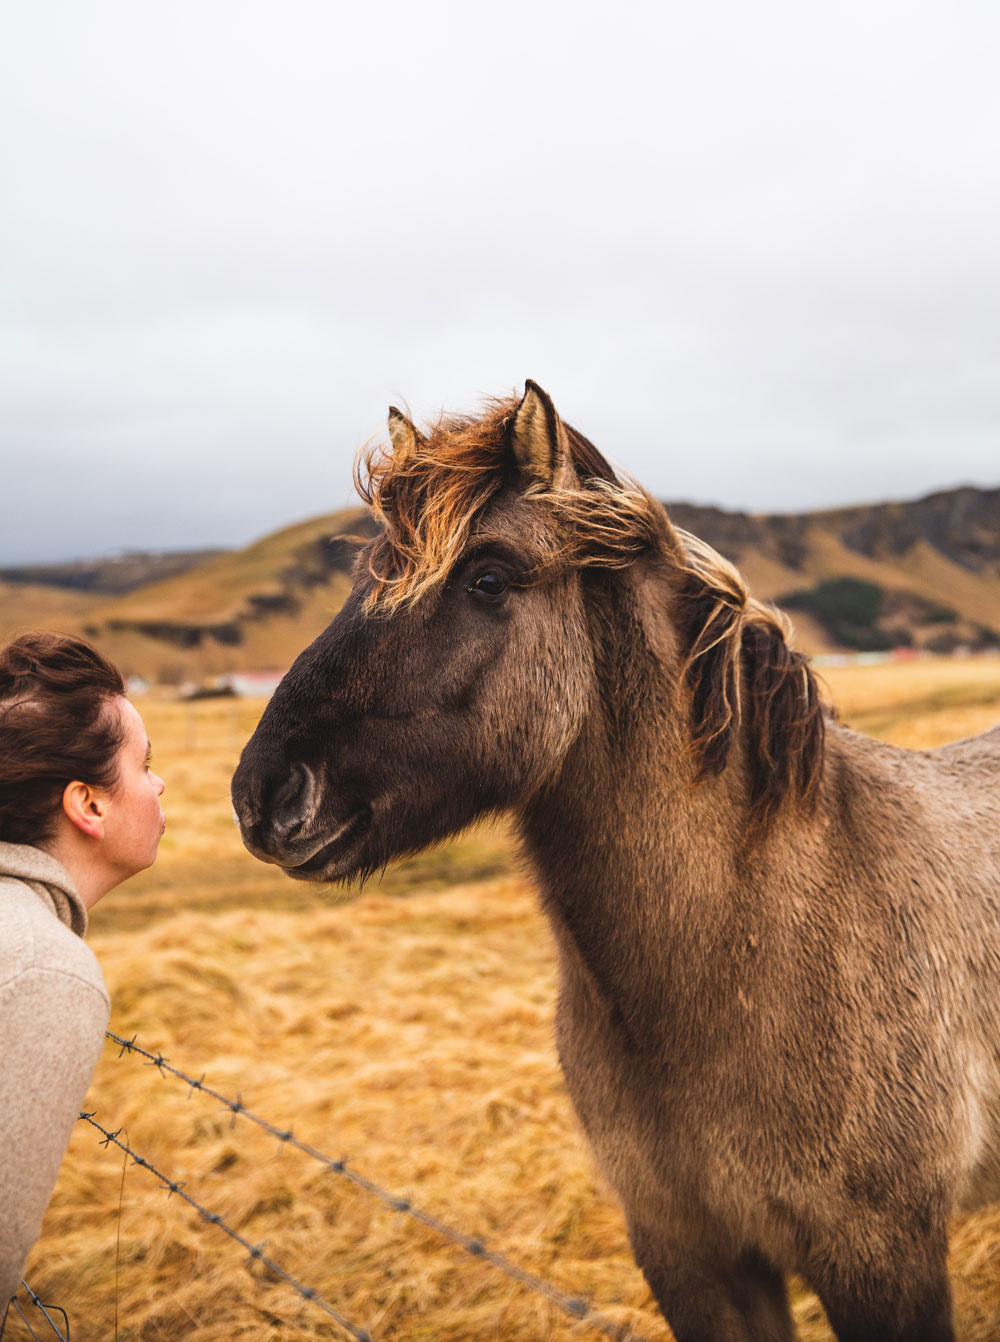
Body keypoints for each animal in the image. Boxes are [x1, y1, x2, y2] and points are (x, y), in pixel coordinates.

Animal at [229, 381, 998, 1342]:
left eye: (488, 577)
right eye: (369, 574)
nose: (264, 795)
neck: (750, 951)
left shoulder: (881, 1261)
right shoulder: (689, 1255)